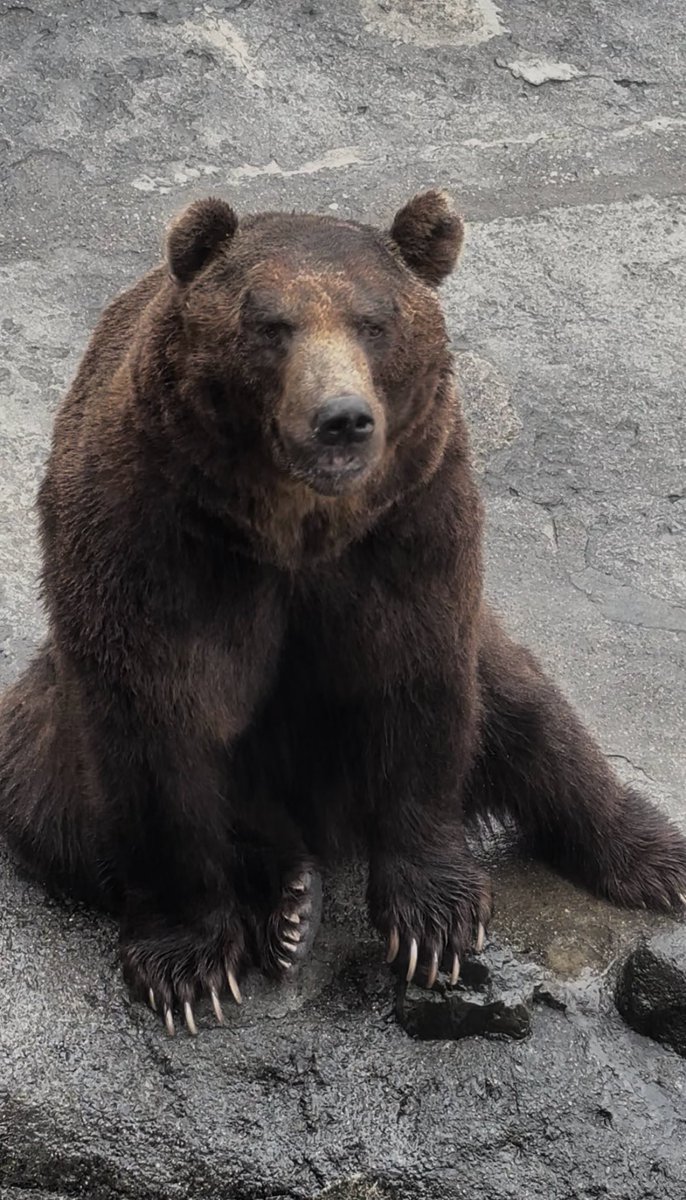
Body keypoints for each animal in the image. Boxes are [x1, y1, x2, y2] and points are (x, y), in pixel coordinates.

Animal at [1, 190, 685, 1036]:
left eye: (373, 321)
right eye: (270, 324)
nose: (342, 418)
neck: (292, 528)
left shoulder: (409, 527)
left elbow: (414, 683)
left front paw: (433, 923)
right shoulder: (152, 537)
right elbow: (161, 720)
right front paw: (187, 967)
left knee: (537, 718)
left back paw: (652, 857)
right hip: (47, 722)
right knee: (47, 797)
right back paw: (286, 899)